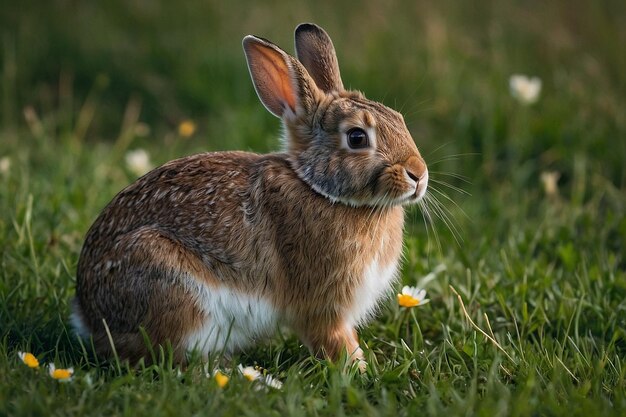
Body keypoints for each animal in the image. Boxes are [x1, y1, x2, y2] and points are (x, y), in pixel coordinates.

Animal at [70, 22, 426, 366]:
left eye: (398, 119)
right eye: (356, 137)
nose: (419, 175)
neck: (319, 189)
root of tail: (89, 315)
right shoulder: (323, 307)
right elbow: (334, 340)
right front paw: (359, 369)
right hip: (175, 291)